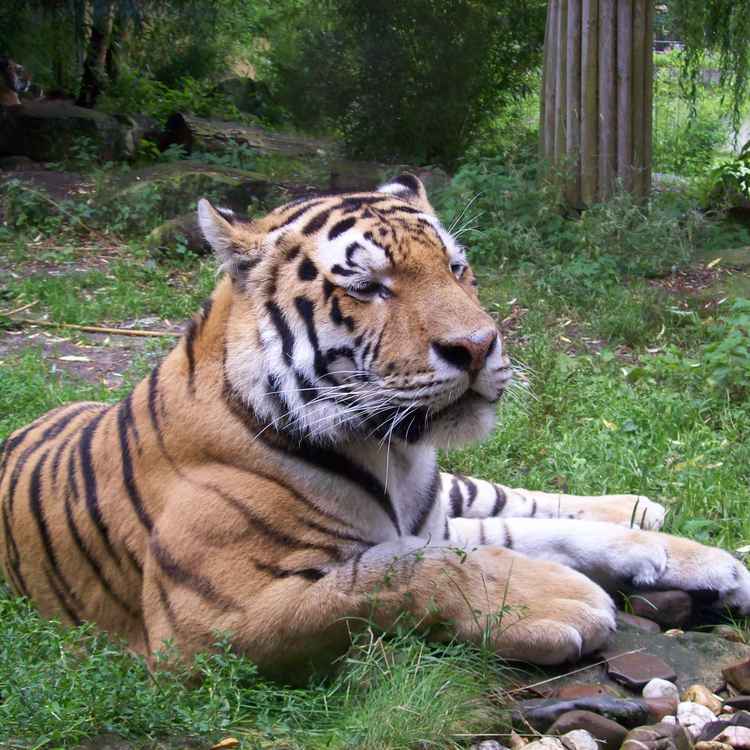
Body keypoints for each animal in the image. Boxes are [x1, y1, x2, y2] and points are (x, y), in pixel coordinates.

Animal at [2, 174, 750, 680]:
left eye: (456, 267)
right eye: (367, 287)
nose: (479, 346)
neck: (389, 454)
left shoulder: (427, 516)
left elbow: (522, 537)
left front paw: (698, 561)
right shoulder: (208, 625)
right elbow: (398, 572)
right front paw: (559, 600)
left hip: (455, 494)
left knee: (512, 499)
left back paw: (654, 520)